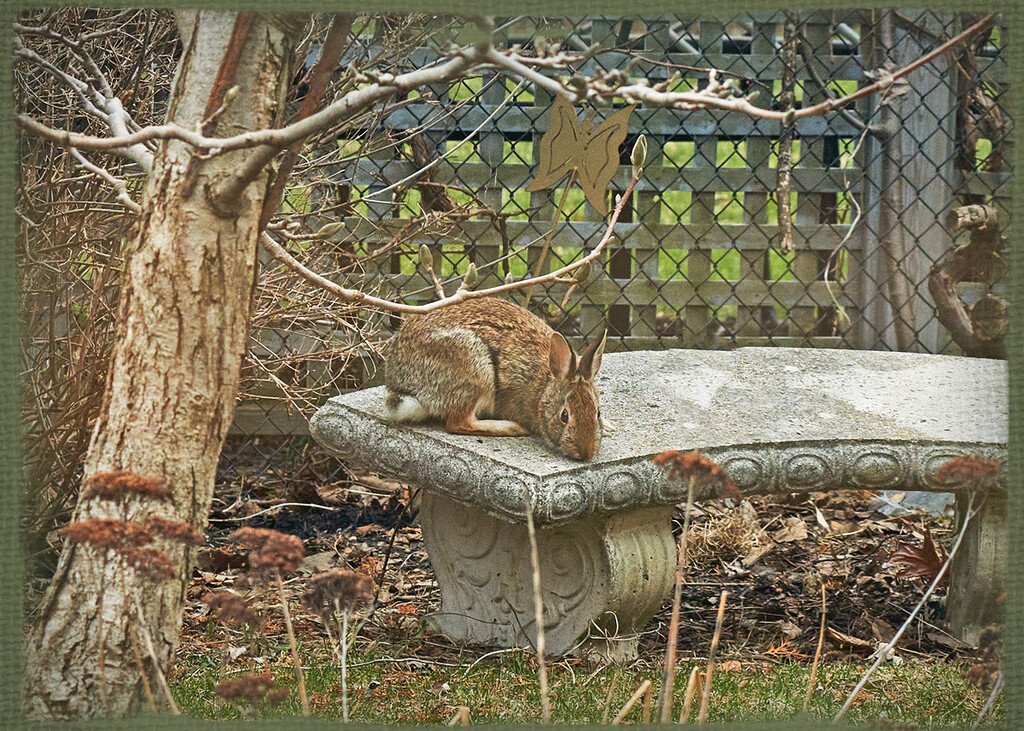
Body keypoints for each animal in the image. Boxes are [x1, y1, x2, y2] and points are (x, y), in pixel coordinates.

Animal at [385, 294, 606, 454]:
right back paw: (512, 428)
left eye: (598, 413)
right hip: (475, 374)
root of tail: (401, 384)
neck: (544, 386)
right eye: (564, 415)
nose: (585, 453)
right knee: (458, 422)